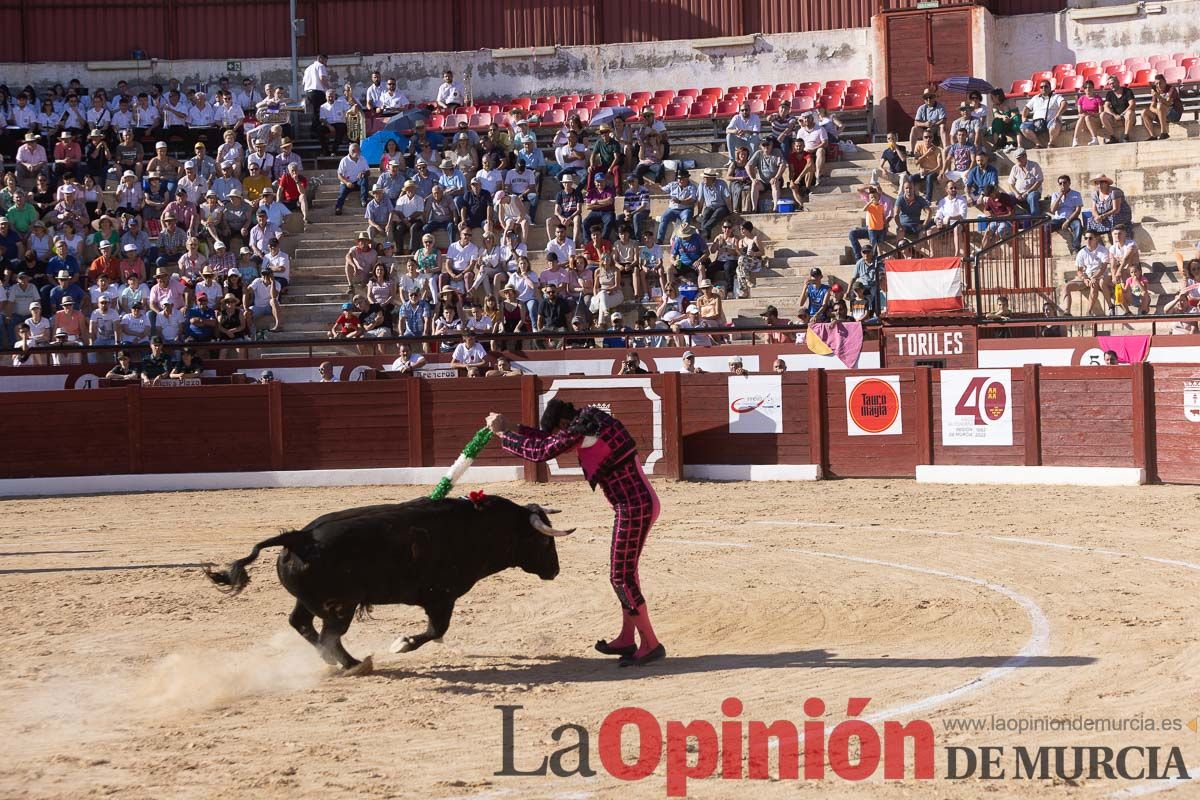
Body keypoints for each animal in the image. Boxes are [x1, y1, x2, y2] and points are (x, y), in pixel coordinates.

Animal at [202, 496, 576, 671]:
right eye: (545, 541)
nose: (555, 571)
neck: (479, 528)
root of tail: (299, 537)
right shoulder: (441, 598)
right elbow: (436, 630)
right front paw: (402, 644)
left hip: (312, 601)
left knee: (302, 624)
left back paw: (334, 661)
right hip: (341, 606)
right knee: (329, 635)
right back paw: (353, 664)